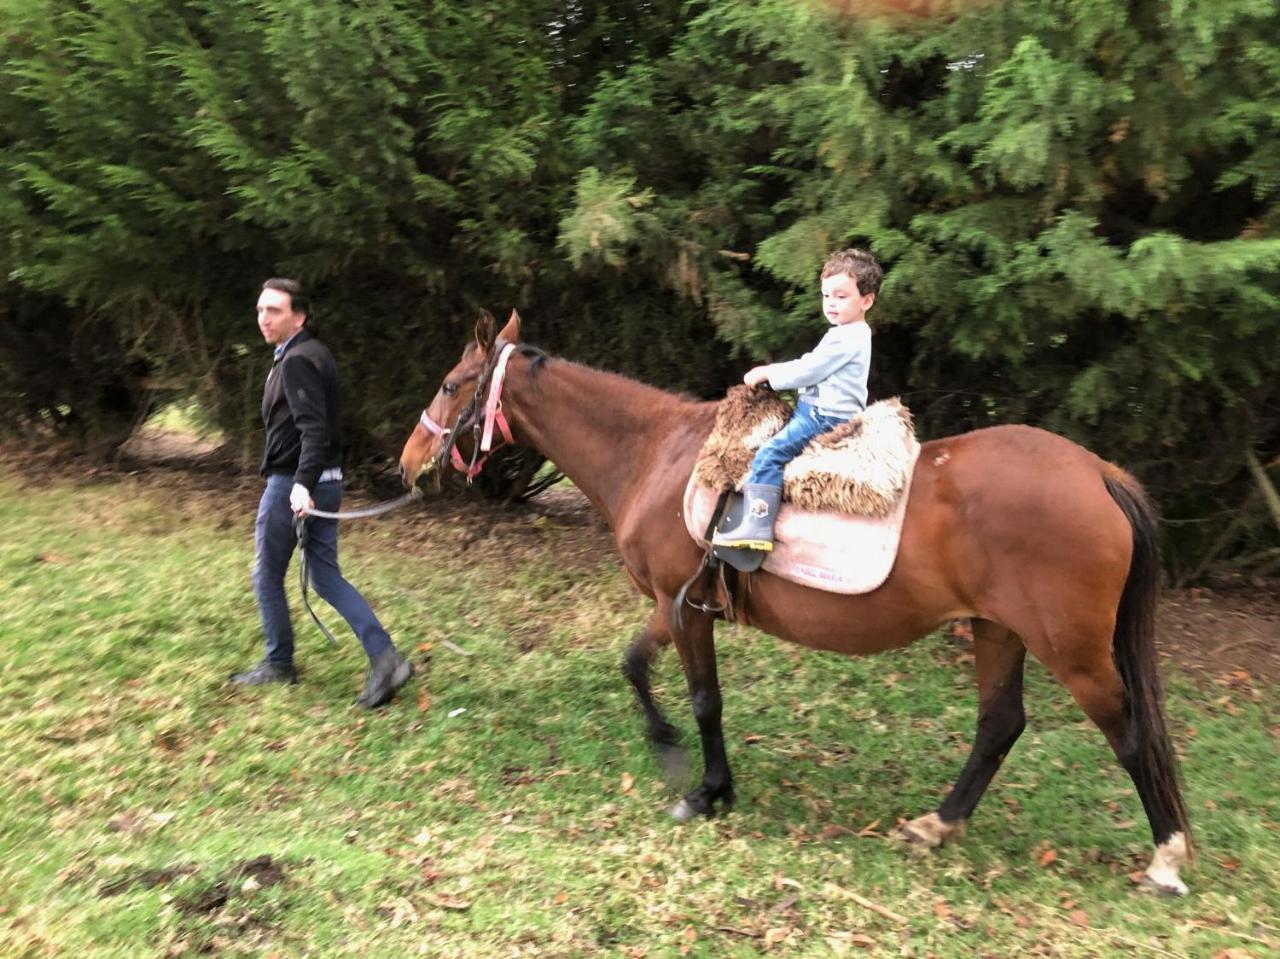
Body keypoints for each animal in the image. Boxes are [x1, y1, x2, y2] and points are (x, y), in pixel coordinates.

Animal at [396, 311, 1187, 896]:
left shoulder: (685, 608)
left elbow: (702, 698)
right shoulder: (673, 603)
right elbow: (635, 666)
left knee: (1129, 730)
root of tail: (1100, 472)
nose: (406, 463)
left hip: (1071, 649)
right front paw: (677, 754)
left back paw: (1167, 858)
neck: (658, 452)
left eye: (449, 384)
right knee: (1000, 724)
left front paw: (702, 786)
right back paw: (936, 825)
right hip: (998, 630)